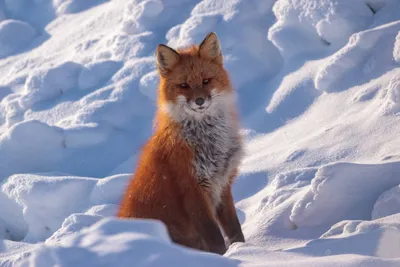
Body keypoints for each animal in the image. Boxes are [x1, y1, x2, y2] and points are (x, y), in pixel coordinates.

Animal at [117, 31, 245, 255]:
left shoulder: (223, 184)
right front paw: (223, 258)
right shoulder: (192, 189)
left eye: (206, 80)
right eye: (184, 85)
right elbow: (215, 238)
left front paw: (247, 250)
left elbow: (234, 229)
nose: (200, 101)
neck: (210, 142)